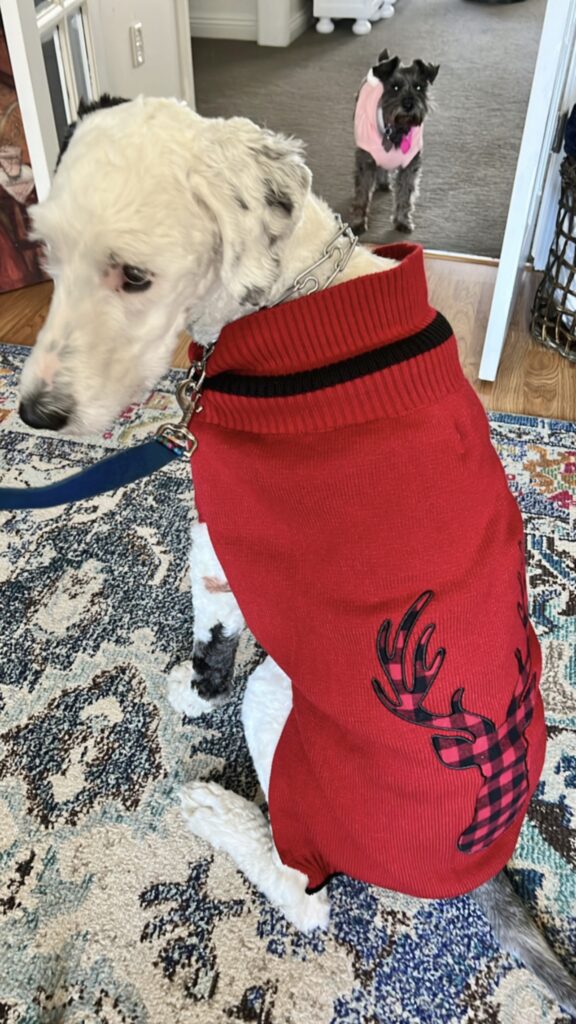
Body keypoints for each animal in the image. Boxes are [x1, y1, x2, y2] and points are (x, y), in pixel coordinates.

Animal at [348, 51, 436, 237]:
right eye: (395, 87)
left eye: (419, 87)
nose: (408, 104)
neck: (396, 130)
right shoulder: (366, 162)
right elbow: (361, 195)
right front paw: (358, 223)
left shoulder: (410, 167)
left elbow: (405, 196)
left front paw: (402, 221)